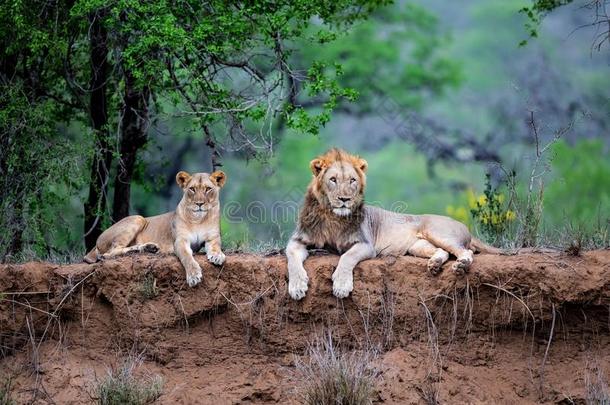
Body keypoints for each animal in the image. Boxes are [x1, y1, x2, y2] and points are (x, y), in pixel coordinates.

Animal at [84, 170, 227, 288]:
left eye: (208, 189)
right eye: (192, 189)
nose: (199, 204)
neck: (198, 220)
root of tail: (97, 241)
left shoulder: (213, 238)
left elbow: (216, 246)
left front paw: (217, 256)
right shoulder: (180, 240)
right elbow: (187, 257)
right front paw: (193, 275)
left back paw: (150, 248)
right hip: (138, 218)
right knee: (110, 252)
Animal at [284, 148, 498, 300]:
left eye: (352, 180)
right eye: (333, 180)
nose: (345, 199)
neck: (332, 217)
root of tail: (464, 226)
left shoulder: (365, 244)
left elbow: (346, 257)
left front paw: (342, 286)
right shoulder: (298, 240)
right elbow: (291, 258)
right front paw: (297, 287)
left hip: (438, 232)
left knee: (465, 251)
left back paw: (461, 265)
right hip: (417, 246)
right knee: (443, 252)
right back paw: (434, 264)